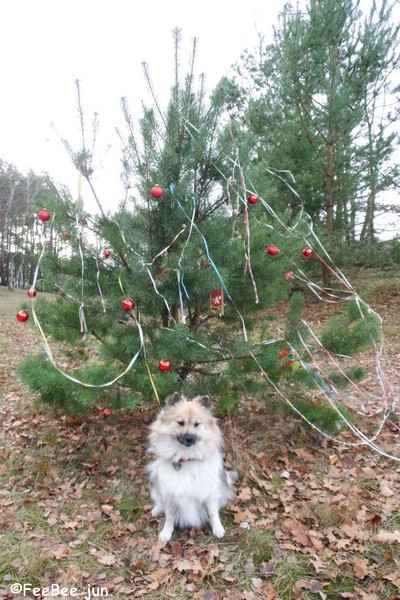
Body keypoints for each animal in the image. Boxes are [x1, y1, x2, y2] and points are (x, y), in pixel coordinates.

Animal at [147, 392, 234, 540]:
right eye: (180, 423)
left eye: (197, 424)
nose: (189, 438)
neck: (186, 458)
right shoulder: (170, 493)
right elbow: (169, 517)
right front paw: (166, 532)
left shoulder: (209, 493)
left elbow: (213, 513)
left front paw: (217, 528)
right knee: (159, 500)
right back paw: (157, 509)